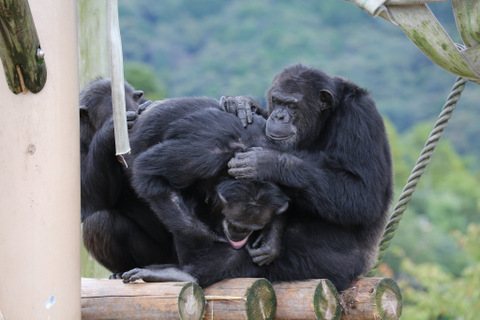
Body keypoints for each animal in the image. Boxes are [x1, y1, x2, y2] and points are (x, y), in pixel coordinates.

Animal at [122, 63, 392, 292]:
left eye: (292, 105)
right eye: (277, 101)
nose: (279, 116)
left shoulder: (360, 118)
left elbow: (362, 196)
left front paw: (267, 162)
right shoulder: (203, 154)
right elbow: (150, 171)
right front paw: (240, 105)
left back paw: (185, 273)